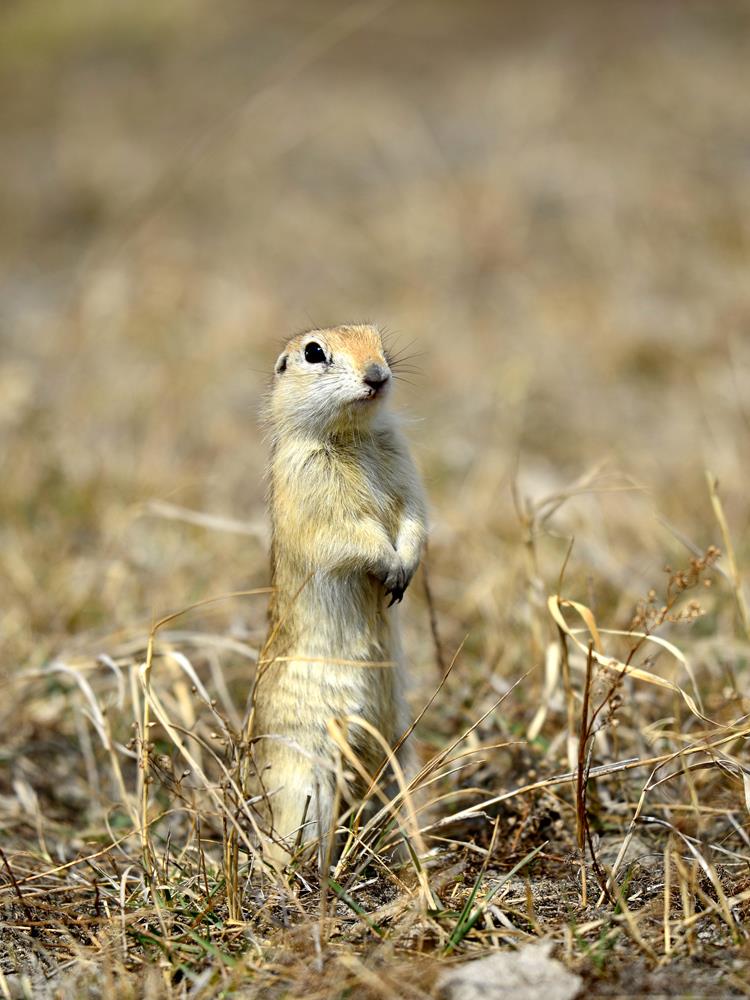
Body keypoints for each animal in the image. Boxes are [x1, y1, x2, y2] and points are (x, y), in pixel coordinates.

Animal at [251, 322, 428, 868]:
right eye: (314, 353)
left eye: (378, 340)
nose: (377, 375)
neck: (352, 435)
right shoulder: (312, 489)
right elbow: (351, 534)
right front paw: (390, 566)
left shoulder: (406, 466)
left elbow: (415, 518)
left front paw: (405, 565)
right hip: (309, 781)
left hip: (400, 756)